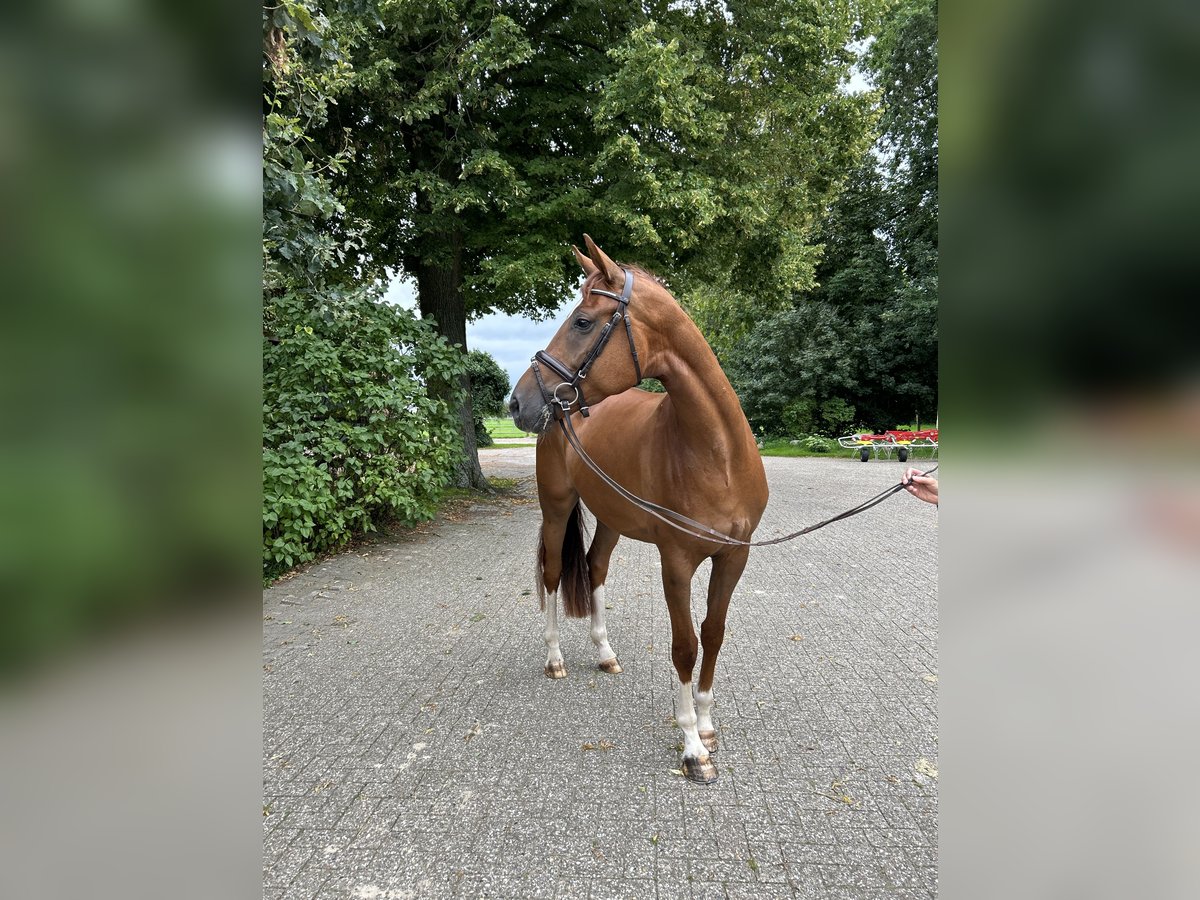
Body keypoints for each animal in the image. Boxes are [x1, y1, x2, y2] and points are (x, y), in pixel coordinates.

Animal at [506, 237, 768, 782]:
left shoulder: (734, 556)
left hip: (611, 518)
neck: (718, 455)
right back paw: (555, 659)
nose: (518, 402)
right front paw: (691, 747)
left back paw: (604, 654)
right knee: (554, 574)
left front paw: (706, 725)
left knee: (596, 567)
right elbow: (684, 645)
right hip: (556, 509)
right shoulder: (677, 561)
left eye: (583, 321)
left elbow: (713, 634)